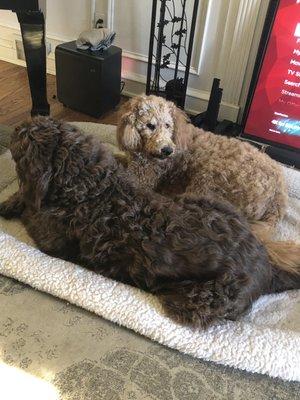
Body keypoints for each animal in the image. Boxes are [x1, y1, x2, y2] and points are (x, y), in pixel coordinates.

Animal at [1, 118, 298, 328]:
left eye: (27, 137)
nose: (15, 127)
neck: (92, 188)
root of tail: (267, 267)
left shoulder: (49, 237)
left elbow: (29, 207)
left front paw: (10, 203)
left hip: (197, 301)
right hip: (204, 200)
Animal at [117, 94, 288, 225]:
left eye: (167, 125)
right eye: (150, 125)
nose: (167, 150)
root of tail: (278, 196)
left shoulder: (142, 179)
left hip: (206, 180)